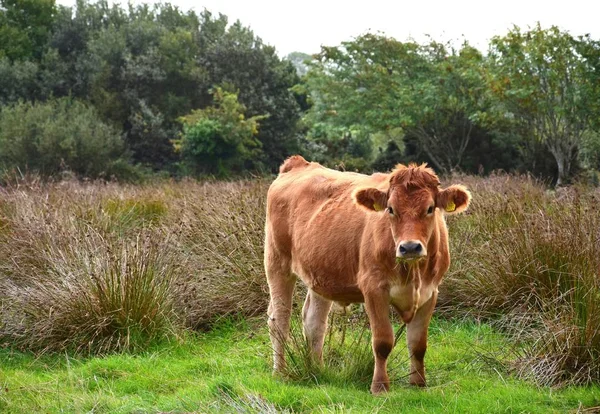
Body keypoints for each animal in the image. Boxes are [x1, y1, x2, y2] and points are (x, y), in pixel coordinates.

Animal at [264, 155, 472, 394]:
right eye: (390, 209)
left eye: (430, 209)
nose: (410, 247)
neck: (412, 273)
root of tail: (299, 164)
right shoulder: (374, 289)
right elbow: (382, 342)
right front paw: (380, 386)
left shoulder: (430, 293)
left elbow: (418, 344)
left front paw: (418, 383)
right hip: (277, 263)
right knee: (279, 319)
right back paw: (280, 372)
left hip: (320, 274)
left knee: (314, 322)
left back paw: (317, 369)